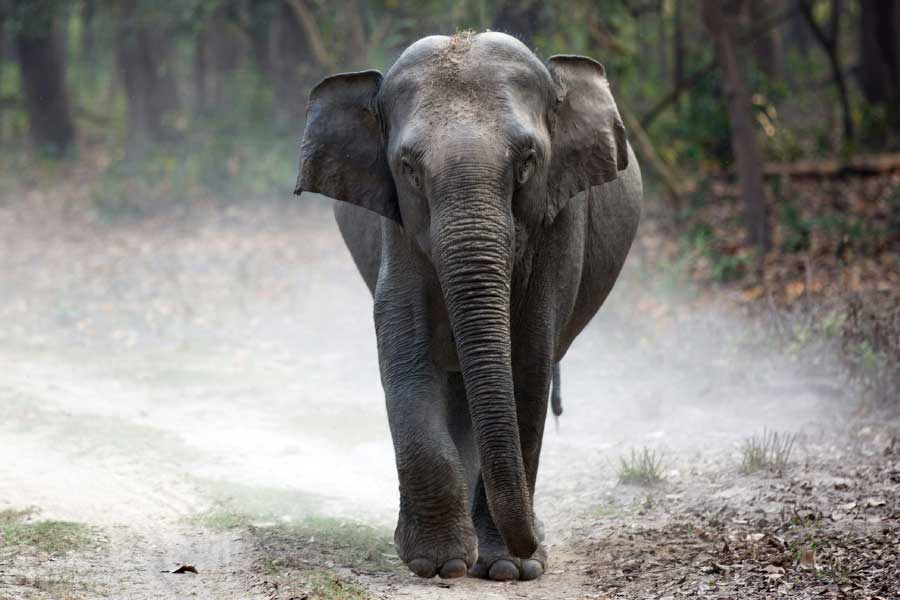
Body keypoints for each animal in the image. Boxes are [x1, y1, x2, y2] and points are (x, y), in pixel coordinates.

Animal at [294, 31, 641, 582]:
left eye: (527, 162)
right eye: (408, 169)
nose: (533, 543)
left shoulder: (559, 220)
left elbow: (528, 359)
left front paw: (507, 569)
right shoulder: (397, 228)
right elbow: (405, 347)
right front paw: (438, 564)